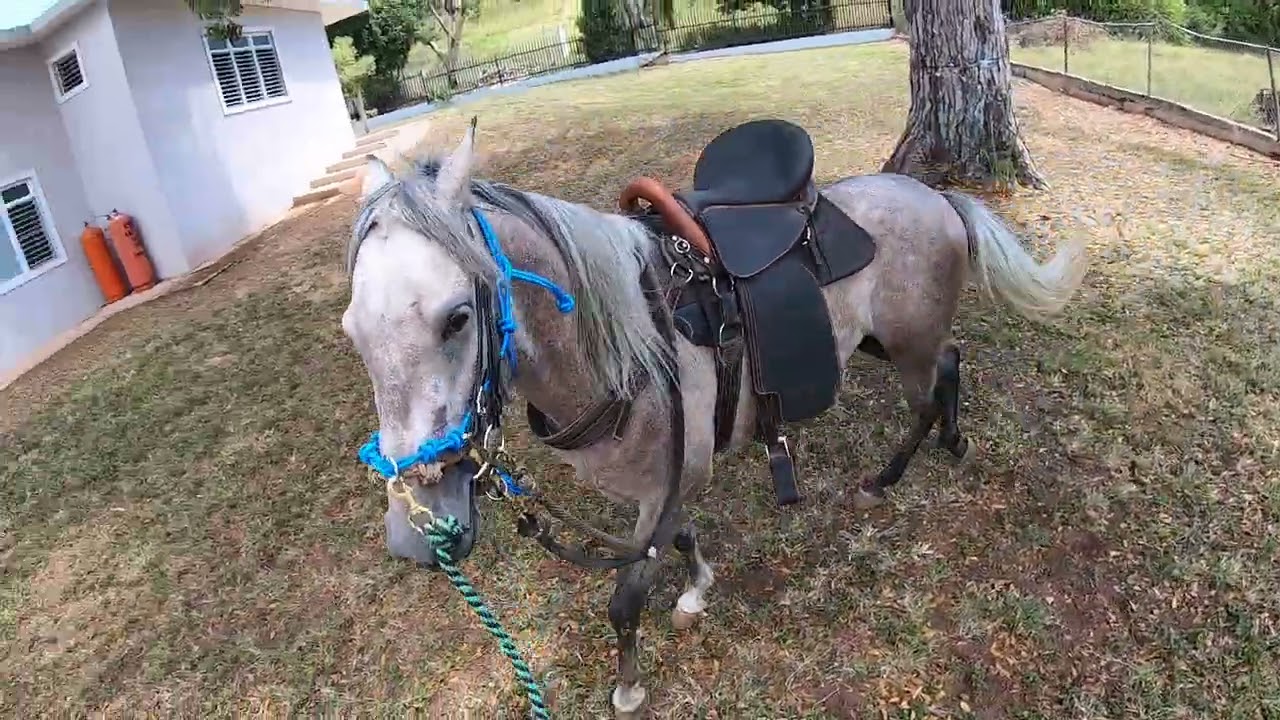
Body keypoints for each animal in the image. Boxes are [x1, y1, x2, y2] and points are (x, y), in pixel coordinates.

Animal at [341, 119, 1087, 717]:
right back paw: (954, 441)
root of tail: (936, 196)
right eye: (352, 331)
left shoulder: (670, 485)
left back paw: (887, 478)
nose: (415, 534)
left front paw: (629, 686)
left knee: (927, 396)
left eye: (458, 317)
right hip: (890, 339)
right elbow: (680, 540)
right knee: (952, 364)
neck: (623, 344)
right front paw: (698, 589)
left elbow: (626, 598)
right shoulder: (667, 486)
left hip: (906, 343)